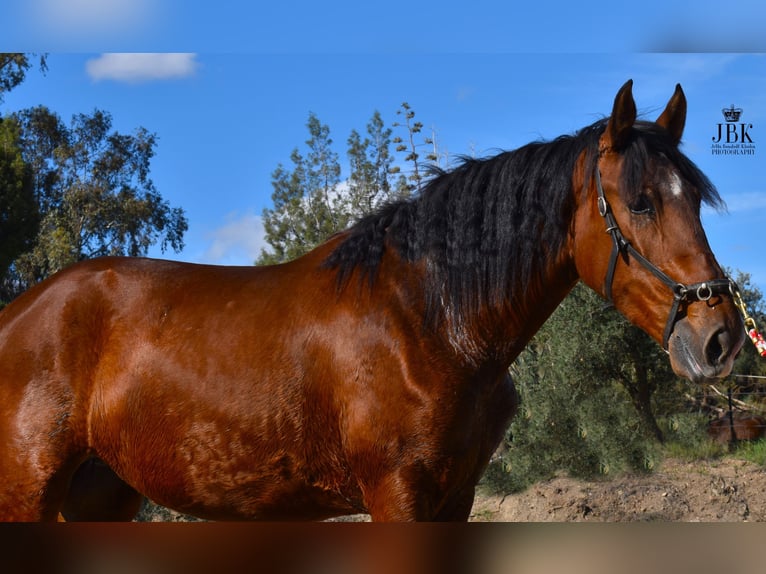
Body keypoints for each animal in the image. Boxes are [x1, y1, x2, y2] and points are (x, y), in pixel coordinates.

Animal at [0, 80, 744, 520]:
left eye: (695, 200)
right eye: (640, 202)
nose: (722, 337)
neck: (431, 320)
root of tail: (19, 313)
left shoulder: (455, 498)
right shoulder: (396, 494)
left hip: (99, 496)